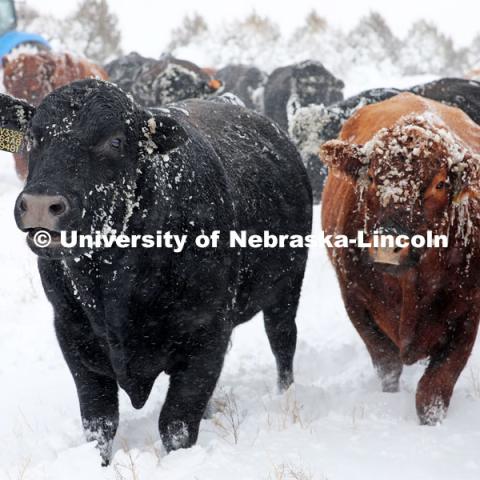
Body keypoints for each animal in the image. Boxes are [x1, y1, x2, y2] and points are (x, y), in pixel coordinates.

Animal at [5, 79, 314, 464]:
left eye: (115, 141)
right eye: (34, 137)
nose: (40, 204)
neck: (111, 285)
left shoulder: (207, 332)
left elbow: (177, 421)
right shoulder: (72, 332)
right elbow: (99, 423)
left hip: (287, 289)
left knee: (283, 343)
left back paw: (285, 396)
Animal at [320, 93, 480, 424]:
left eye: (440, 183)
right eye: (370, 176)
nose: (387, 245)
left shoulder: (468, 315)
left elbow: (434, 389)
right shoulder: (356, 303)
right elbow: (387, 365)